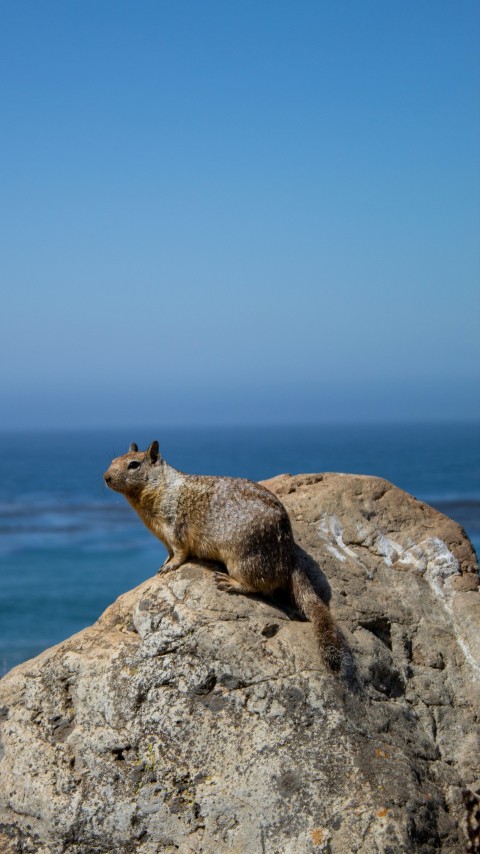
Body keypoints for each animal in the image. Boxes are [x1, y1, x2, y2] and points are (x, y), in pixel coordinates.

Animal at [105, 444, 344, 672]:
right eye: (113, 460)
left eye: (134, 465)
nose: (106, 477)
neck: (161, 486)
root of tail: (289, 555)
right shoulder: (162, 535)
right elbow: (169, 551)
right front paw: (164, 562)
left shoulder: (173, 526)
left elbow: (180, 551)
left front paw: (170, 566)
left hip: (244, 558)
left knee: (257, 586)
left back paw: (230, 582)